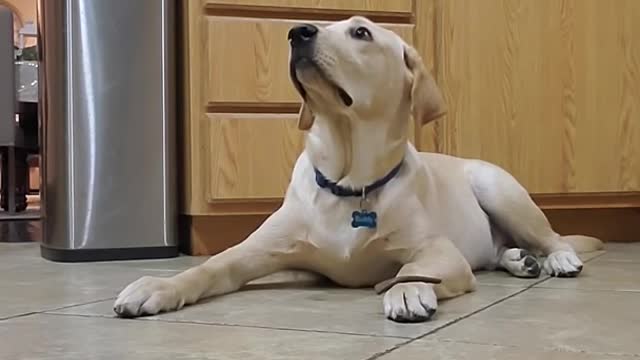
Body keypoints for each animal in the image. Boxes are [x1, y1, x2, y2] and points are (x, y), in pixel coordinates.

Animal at [114, 15, 600, 322]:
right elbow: (209, 267)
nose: (296, 32)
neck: (349, 183)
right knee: (502, 250)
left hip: (497, 187)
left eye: (361, 32)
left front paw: (407, 290)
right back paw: (520, 260)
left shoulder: (439, 251)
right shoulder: (258, 252)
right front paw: (157, 286)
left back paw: (557, 259)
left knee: (552, 236)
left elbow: (409, 269)